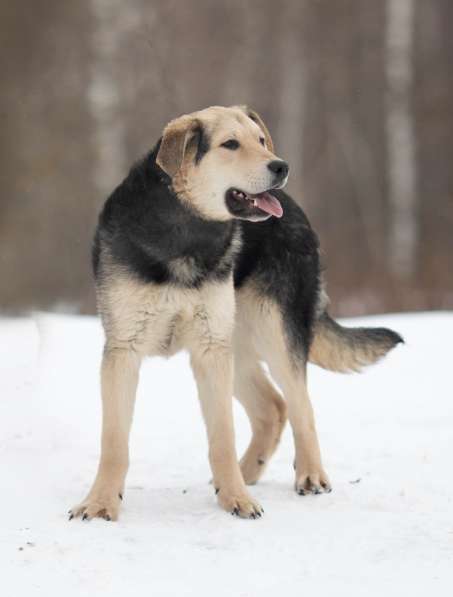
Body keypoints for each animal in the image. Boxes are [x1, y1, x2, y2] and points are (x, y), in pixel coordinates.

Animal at [69, 105, 400, 520]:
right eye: (230, 144)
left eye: (260, 140)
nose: (281, 166)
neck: (188, 229)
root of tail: (293, 206)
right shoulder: (125, 349)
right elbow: (114, 441)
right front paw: (100, 503)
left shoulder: (211, 350)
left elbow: (222, 435)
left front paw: (235, 498)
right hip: (237, 346)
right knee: (273, 408)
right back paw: (247, 473)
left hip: (272, 333)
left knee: (300, 406)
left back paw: (307, 475)